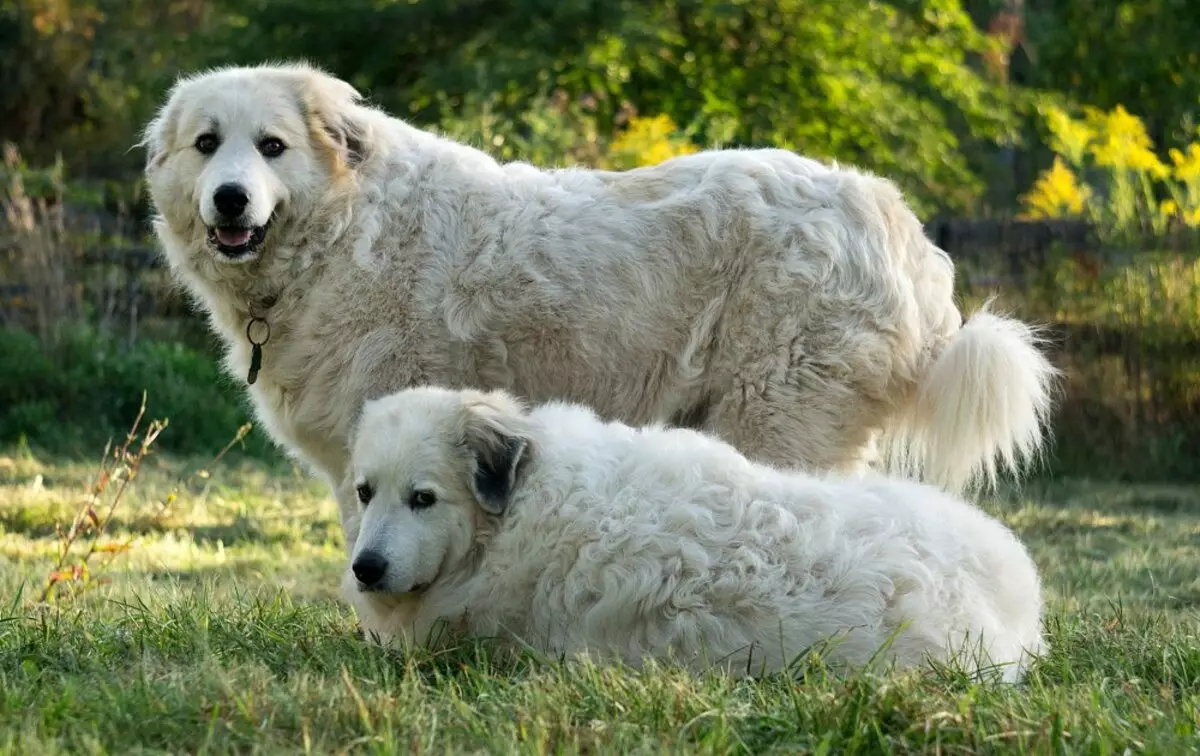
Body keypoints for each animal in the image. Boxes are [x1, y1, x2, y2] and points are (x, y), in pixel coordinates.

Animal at [142, 60, 1060, 544]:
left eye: (272, 147)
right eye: (206, 145)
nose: (229, 199)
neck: (343, 228)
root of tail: (891, 218)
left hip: (780, 416)